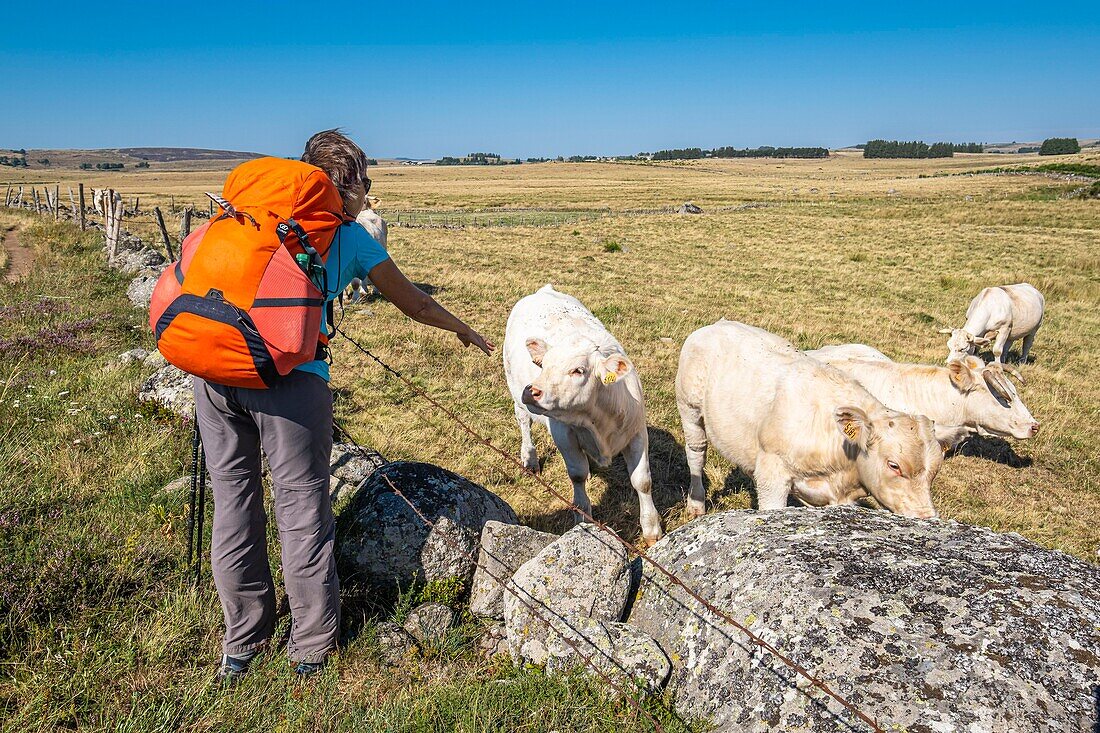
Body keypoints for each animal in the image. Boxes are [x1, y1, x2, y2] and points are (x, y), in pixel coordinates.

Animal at [506, 286, 660, 541]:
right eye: (544, 365)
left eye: (578, 370)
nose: (531, 391)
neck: (598, 421)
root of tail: (544, 290)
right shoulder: (563, 434)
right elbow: (576, 475)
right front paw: (583, 518)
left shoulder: (637, 431)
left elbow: (642, 480)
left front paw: (652, 529)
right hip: (515, 391)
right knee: (524, 422)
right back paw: (530, 458)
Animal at [673, 321, 941, 519]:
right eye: (894, 465)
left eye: (935, 472)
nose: (926, 517)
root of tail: (717, 324)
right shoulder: (773, 472)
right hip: (689, 407)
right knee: (697, 451)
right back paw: (696, 505)